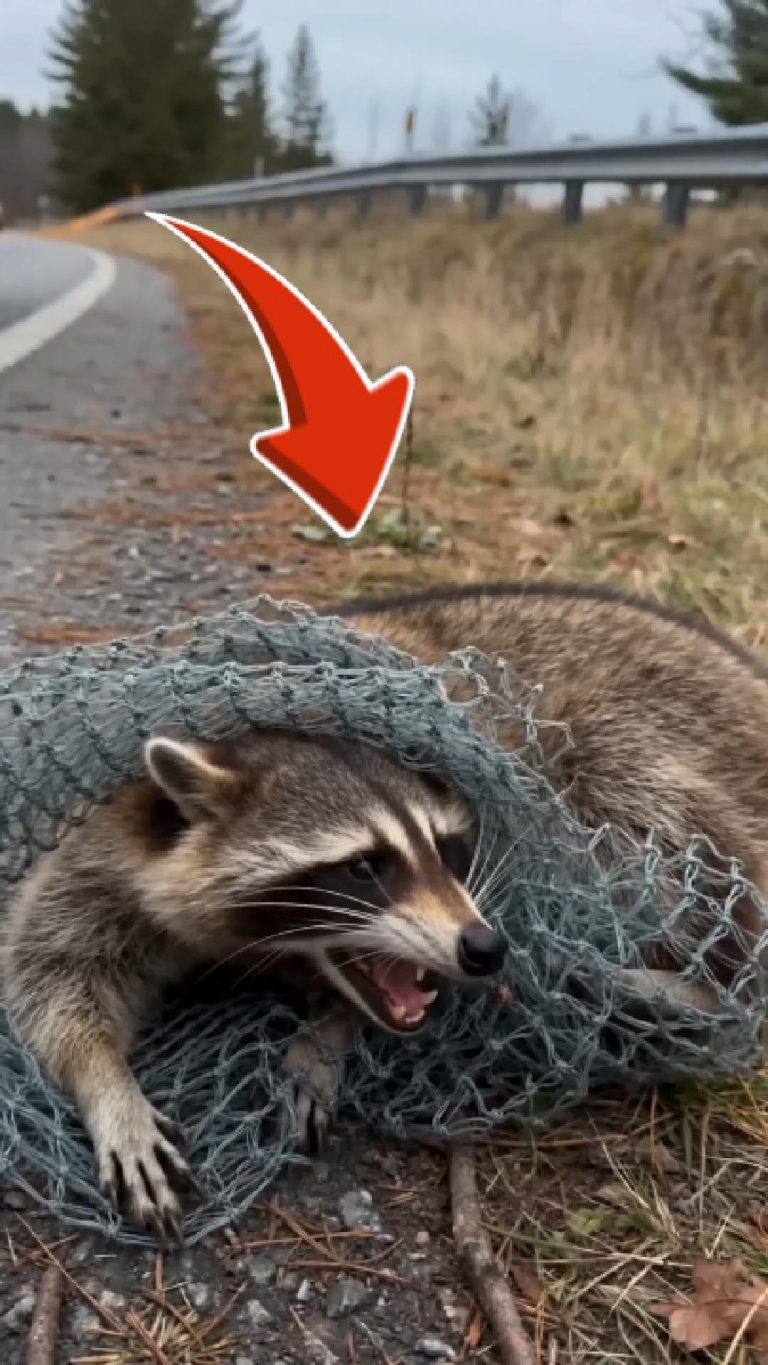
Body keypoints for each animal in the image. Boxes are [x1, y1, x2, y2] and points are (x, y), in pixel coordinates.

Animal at [4, 580, 768, 1239]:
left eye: (448, 849)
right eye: (364, 867)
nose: (485, 948)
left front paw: (328, 1035)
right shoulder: (104, 842)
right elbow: (54, 971)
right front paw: (108, 1086)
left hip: (654, 739)